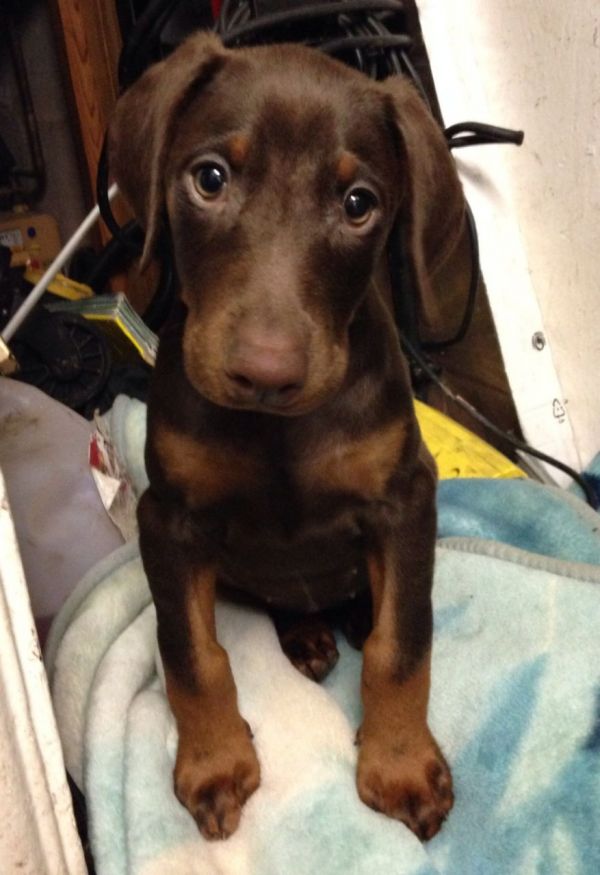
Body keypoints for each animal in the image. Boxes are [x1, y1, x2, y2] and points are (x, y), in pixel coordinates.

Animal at [109, 31, 465, 842]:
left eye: (359, 204)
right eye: (209, 178)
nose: (266, 373)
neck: (278, 433)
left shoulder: (406, 498)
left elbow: (402, 644)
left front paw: (400, 764)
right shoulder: (168, 517)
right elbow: (191, 652)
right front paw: (214, 762)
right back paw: (305, 635)